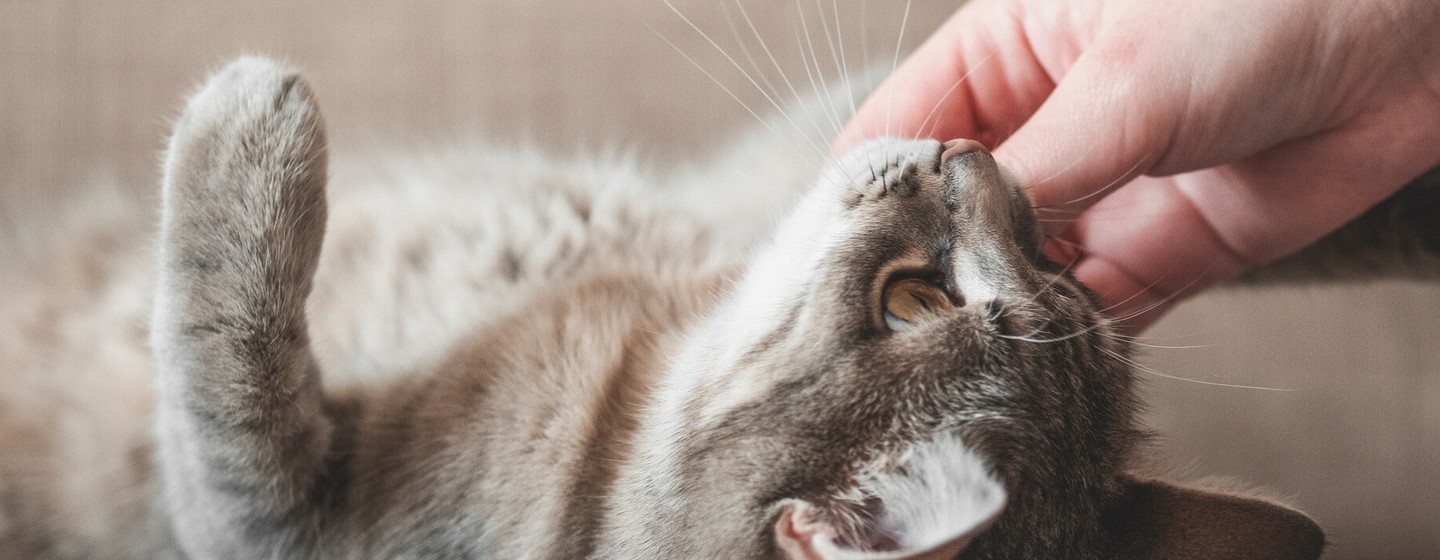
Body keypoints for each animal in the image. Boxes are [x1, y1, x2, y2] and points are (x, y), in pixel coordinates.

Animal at [5, 54, 1399, 555]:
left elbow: (218, 376)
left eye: (909, 299)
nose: (974, 160)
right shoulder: (749, 179)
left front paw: (251, 121)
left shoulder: (282, 522)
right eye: (1062, 268)